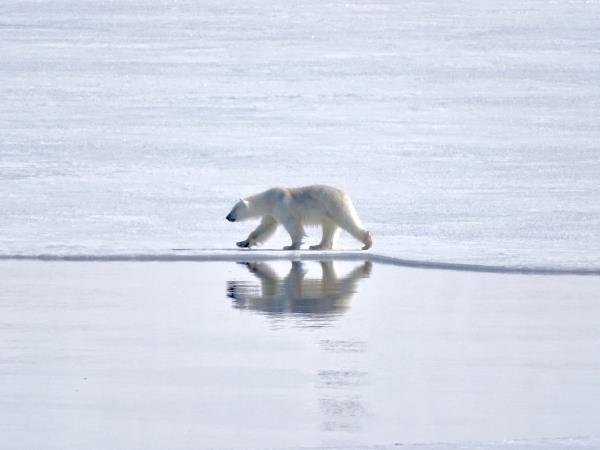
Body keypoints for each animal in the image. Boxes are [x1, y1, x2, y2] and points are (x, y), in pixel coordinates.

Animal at [227, 185, 372, 251]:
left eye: (234, 209)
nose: (227, 217)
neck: (269, 200)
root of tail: (345, 196)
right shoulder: (272, 213)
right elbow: (265, 228)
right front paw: (243, 242)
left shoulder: (282, 206)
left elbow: (292, 225)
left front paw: (291, 246)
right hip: (328, 214)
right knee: (328, 228)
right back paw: (317, 246)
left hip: (335, 207)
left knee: (348, 222)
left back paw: (367, 243)